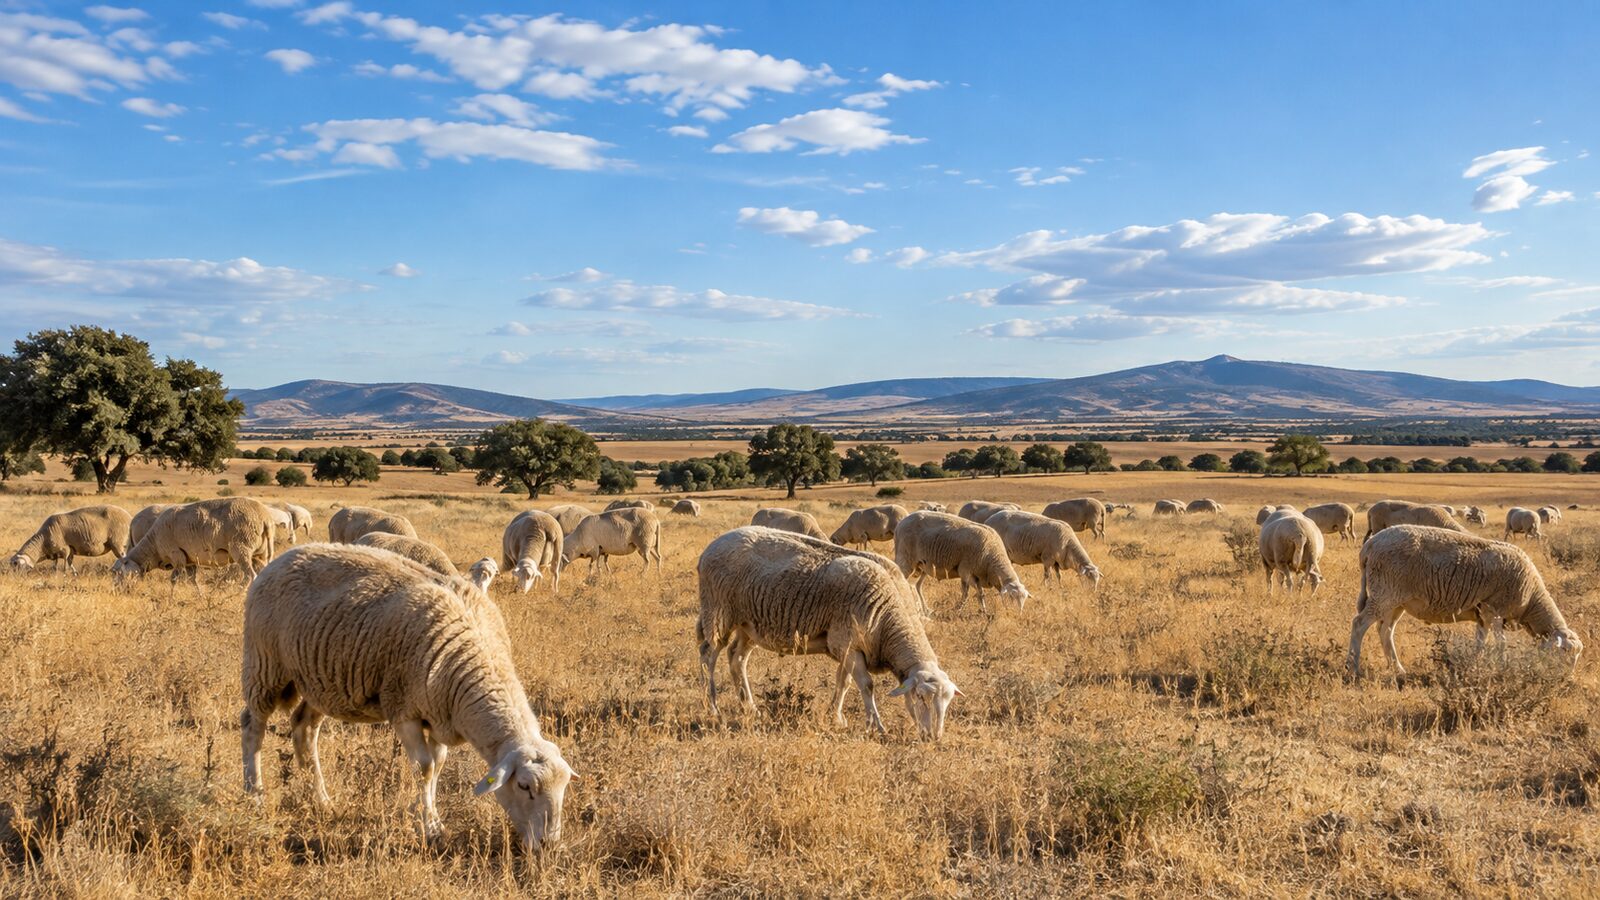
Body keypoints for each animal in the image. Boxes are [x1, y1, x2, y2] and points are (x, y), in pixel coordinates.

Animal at [112, 498, 275, 587]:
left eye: (119, 573)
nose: (120, 591)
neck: (154, 547)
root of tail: (265, 517)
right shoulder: (189, 560)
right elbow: (193, 581)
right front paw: (200, 597)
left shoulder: (176, 555)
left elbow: (174, 580)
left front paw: (170, 599)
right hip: (260, 554)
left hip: (241, 548)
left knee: (250, 576)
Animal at [240, 544, 574, 849]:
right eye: (524, 786)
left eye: (564, 787)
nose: (549, 844)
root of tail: (282, 557)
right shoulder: (404, 709)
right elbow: (424, 769)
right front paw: (428, 826)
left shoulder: (439, 713)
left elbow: (438, 765)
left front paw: (434, 819)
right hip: (265, 663)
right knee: (252, 725)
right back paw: (254, 795)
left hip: (319, 681)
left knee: (304, 729)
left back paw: (320, 800)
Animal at [696, 526, 960, 739]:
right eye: (921, 697)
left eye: (948, 702)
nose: (934, 737)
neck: (889, 616)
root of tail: (713, 545)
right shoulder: (847, 643)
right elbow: (866, 686)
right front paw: (876, 726)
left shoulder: (846, 649)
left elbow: (843, 682)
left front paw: (836, 716)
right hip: (718, 611)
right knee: (708, 656)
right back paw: (713, 708)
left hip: (749, 624)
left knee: (736, 658)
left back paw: (749, 707)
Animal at [892, 511, 1029, 614]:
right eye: (1011, 597)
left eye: (1024, 599)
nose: (1018, 615)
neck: (992, 559)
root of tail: (901, 523)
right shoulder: (966, 571)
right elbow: (973, 594)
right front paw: (964, 610)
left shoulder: (970, 575)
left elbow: (973, 593)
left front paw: (973, 610)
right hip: (905, 559)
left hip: (922, 566)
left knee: (917, 585)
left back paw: (925, 610)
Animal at [1347, 525, 1582, 679]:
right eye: (1564, 652)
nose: (1566, 680)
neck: (1532, 599)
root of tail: (1369, 546)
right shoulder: (1494, 609)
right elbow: (1501, 643)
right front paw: (1503, 667)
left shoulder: (1482, 615)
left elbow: (1480, 642)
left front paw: (1475, 666)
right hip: (1384, 592)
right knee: (1359, 624)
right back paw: (1353, 667)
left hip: (1395, 600)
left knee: (1385, 630)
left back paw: (1397, 668)